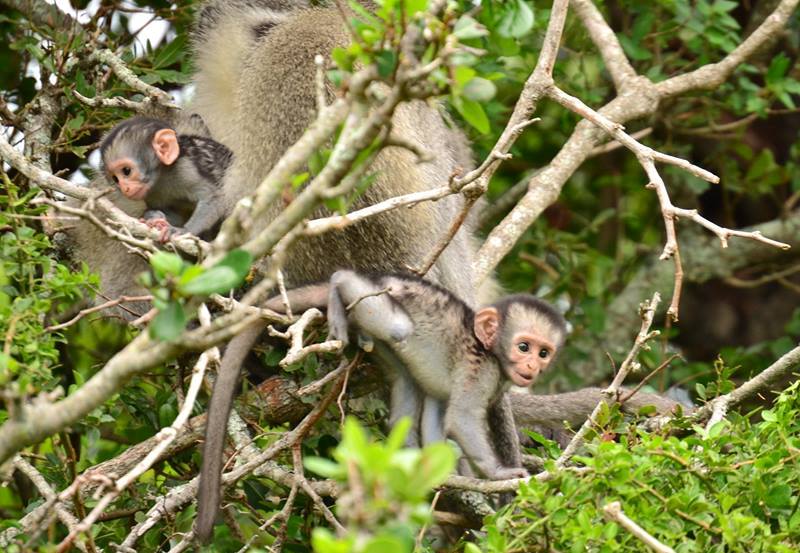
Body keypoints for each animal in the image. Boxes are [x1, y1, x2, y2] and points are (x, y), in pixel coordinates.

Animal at [98, 114, 233, 239]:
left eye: (126, 171)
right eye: (116, 179)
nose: (124, 188)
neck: (163, 177)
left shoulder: (187, 169)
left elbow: (214, 197)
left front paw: (184, 231)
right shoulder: (152, 194)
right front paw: (153, 219)